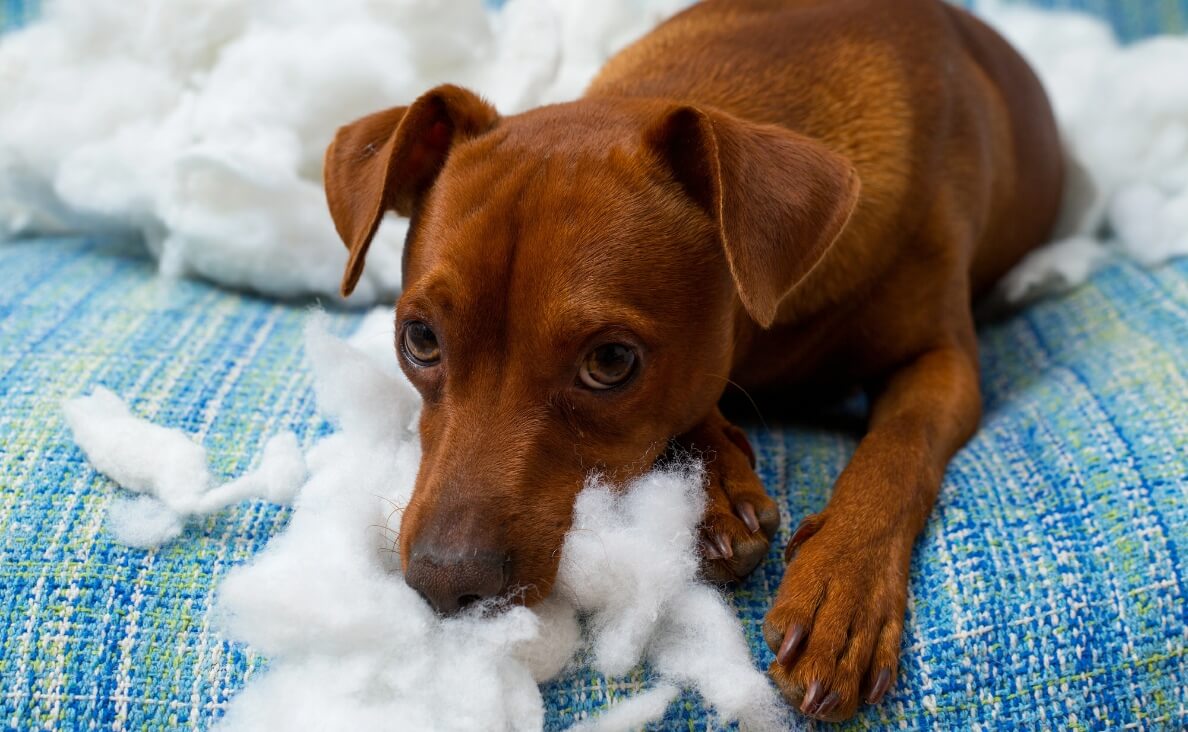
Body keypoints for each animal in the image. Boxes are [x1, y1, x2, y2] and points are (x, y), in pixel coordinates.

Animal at [320, 0, 1064, 722]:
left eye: (611, 362)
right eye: (419, 340)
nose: (446, 582)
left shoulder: (945, 364)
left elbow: (897, 450)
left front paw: (843, 588)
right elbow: (695, 405)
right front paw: (715, 493)